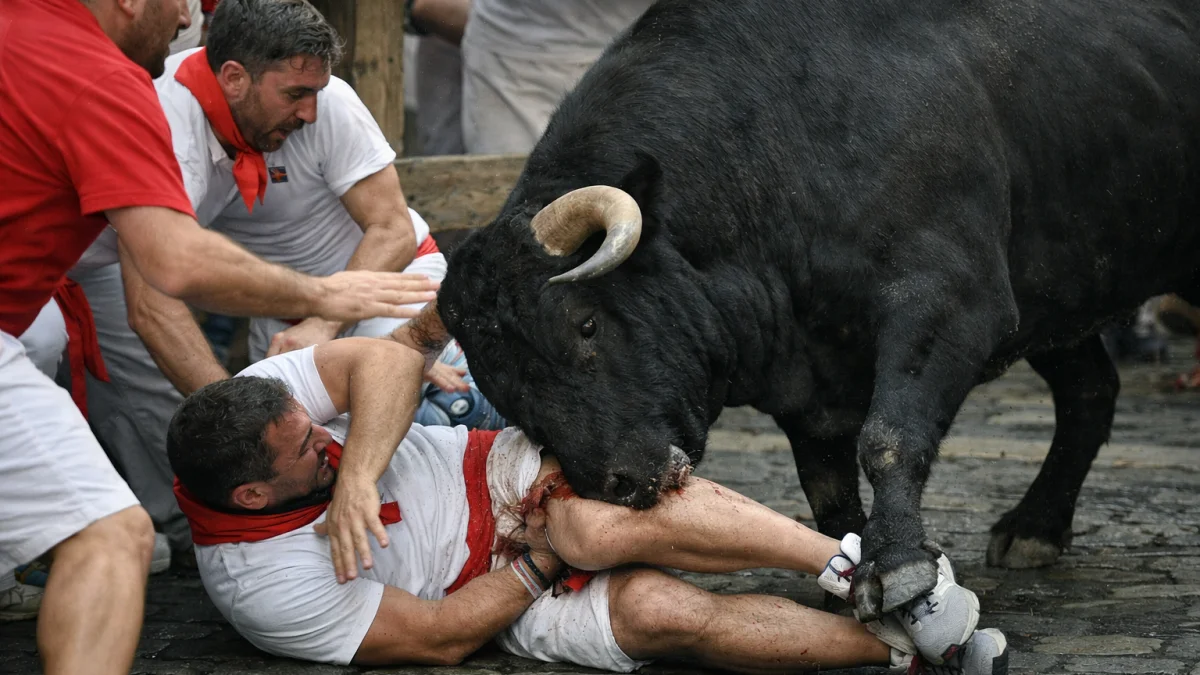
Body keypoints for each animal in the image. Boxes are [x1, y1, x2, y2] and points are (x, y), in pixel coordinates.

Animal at [429, 0, 1200, 620]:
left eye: (585, 324)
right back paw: (1036, 525)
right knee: (1090, 391)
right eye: (506, 390)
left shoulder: (952, 302)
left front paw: (898, 567)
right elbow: (827, 484)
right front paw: (846, 570)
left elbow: (888, 437)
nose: (618, 484)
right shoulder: (808, 382)